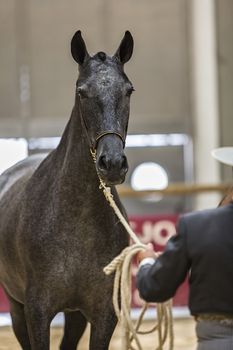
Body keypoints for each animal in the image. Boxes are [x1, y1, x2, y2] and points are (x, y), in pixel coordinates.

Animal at [0, 30, 135, 350]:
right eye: (81, 92)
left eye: (129, 91)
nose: (112, 163)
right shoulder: (37, 312)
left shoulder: (103, 314)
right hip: (16, 307)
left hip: (75, 315)